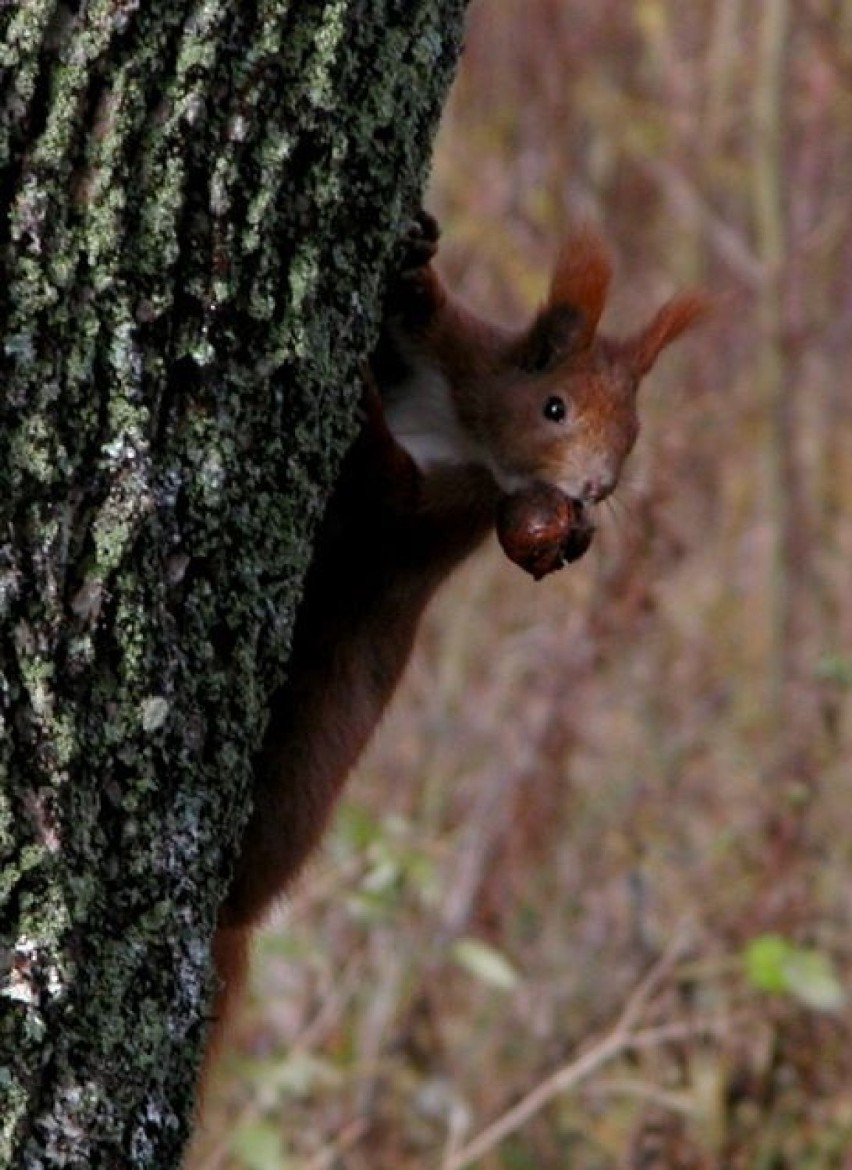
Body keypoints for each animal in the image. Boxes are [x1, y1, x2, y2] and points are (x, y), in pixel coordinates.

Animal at [204, 208, 697, 1071]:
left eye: (633, 431)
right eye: (556, 407)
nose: (596, 488)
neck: (461, 422)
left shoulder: (443, 513)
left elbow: (388, 498)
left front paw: (361, 403)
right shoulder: (456, 353)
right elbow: (429, 323)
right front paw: (417, 260)